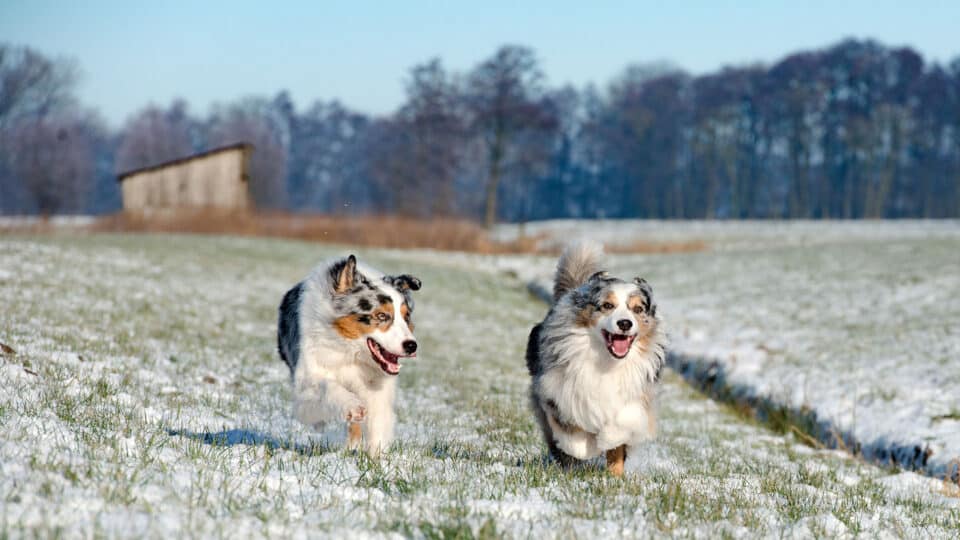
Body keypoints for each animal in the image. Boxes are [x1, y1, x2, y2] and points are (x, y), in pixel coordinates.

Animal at [276, 254, 422, 456]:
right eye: (382, 316)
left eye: (406, 317)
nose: (411, 346)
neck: (351, 352)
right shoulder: (305, 387)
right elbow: (326, 386)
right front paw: (351, 406)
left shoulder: (376, 389)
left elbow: (377, 425)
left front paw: (376, 459)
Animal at [524, 243, 668, 474]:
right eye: (607, 305)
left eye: (637, 309)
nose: (625, 323)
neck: (607, 361)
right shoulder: (556, 389)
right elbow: (572, 434)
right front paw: (586, 447)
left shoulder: (639, 393)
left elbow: (623, 422)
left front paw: (608, 439)